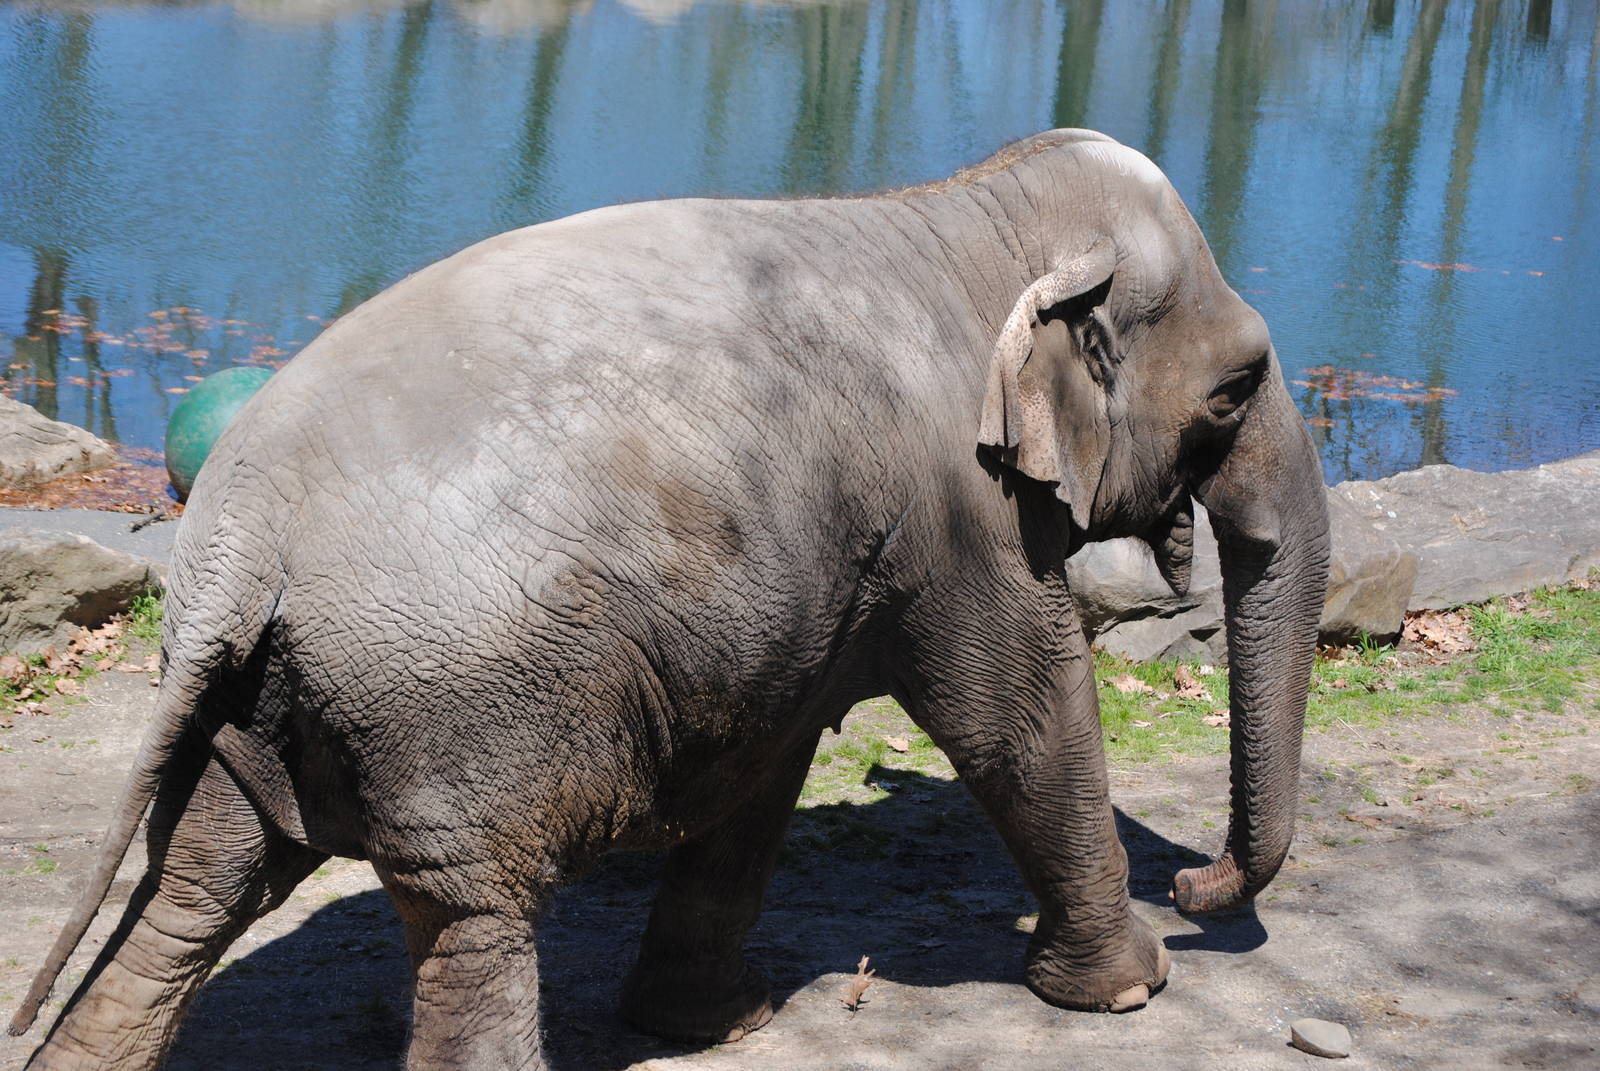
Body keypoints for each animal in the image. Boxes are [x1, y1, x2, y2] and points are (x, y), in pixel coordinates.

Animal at [9, 128, 1329, 1068]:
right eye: (1235, 389)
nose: (1193, 885)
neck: (965, 207)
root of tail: (242, 533)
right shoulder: (961, 519)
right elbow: (1018, 712)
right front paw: (1130, 989)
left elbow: (768, 761)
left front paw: (712, 1024)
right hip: (453, 703)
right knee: (471, 925)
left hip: (253, 697)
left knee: (193, 892)